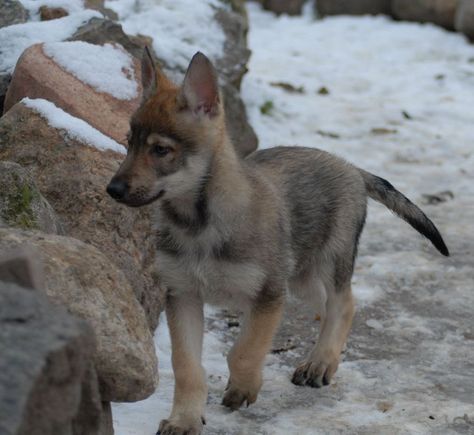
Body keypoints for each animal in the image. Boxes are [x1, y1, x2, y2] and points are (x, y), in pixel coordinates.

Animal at [106, 48, 448, 435]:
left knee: (344, 304)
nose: (112, 189)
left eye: (161, 150)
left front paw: (244, 387)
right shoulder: (183, 296)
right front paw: (185, 419)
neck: (199, 225)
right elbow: (188, 367)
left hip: (324, 266)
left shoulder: (268, 294)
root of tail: (352, 168)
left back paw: (320, 364)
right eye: (129, 143)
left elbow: (243, 351)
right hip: (299, 279)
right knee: (330, 306)